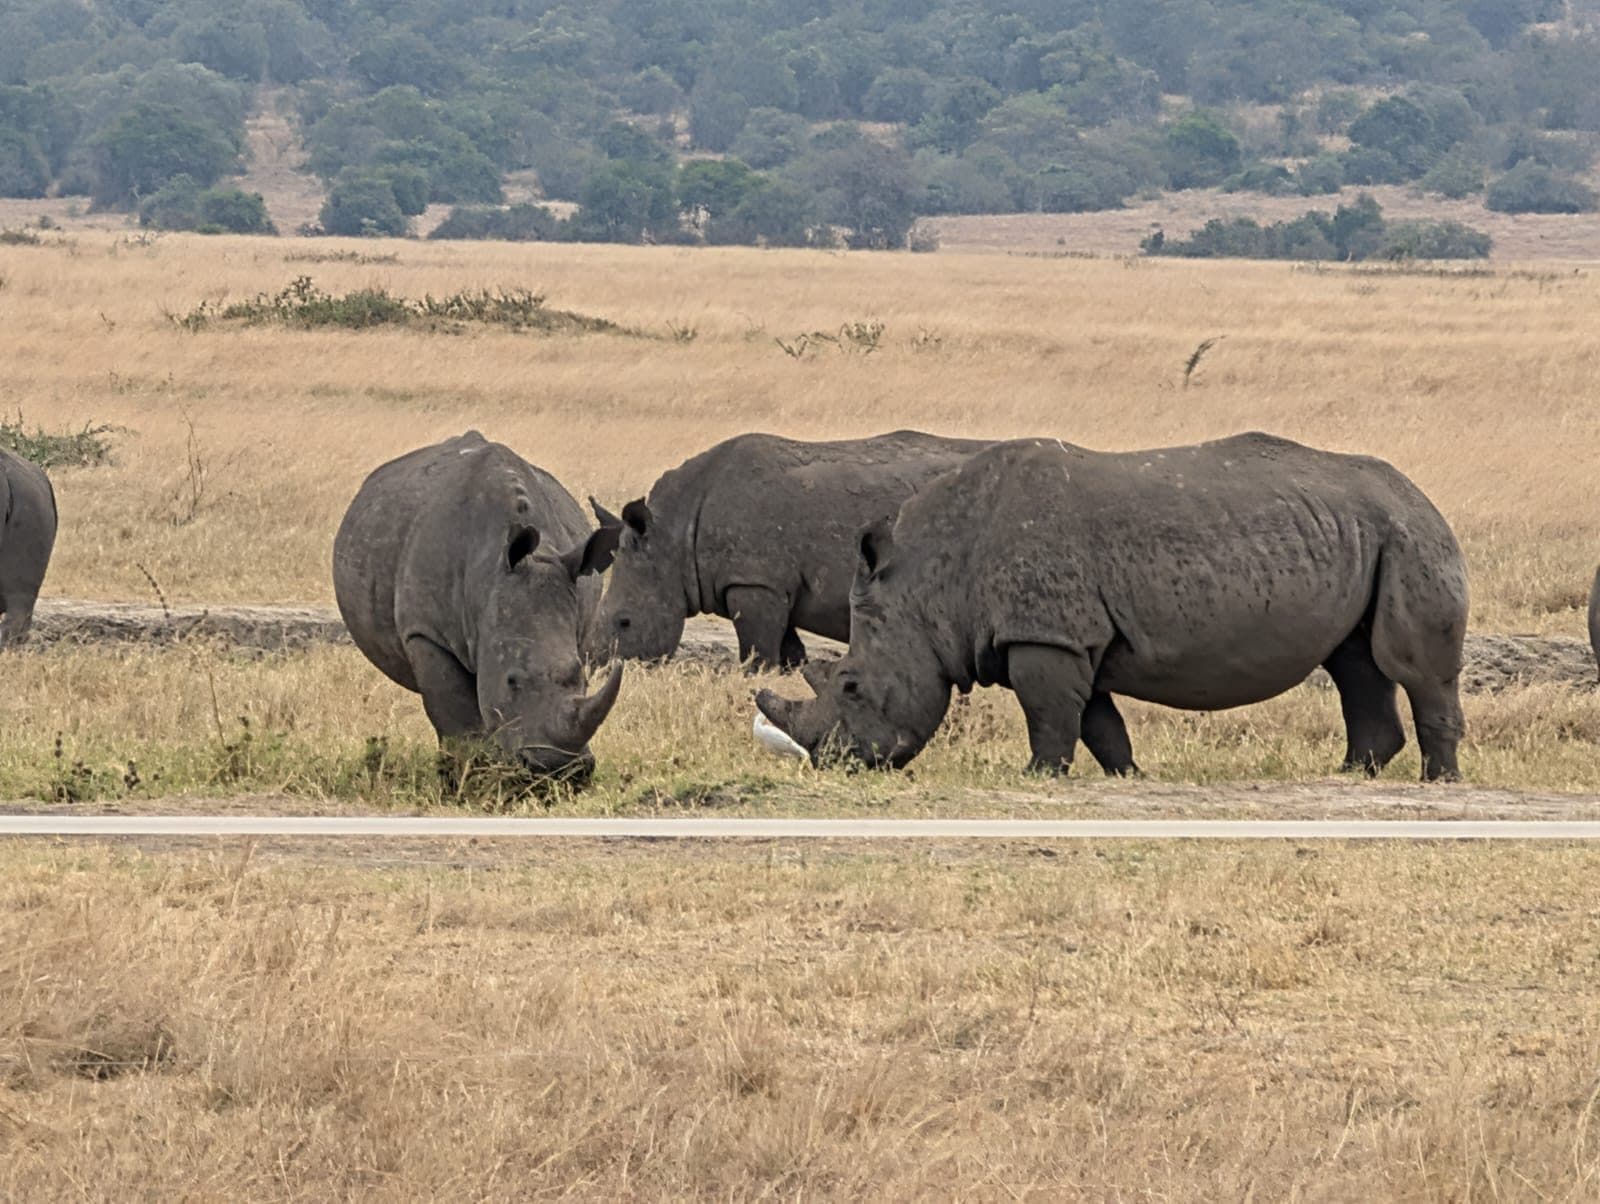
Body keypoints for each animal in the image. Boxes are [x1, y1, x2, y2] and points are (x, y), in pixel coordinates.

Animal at [333, 432, 620, 780]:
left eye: (584, 680)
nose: (557, 769)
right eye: (512, 680)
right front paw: (472, 779)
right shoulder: (426, 633)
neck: (489, 581)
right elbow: (457, 719)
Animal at [583, 430, 990, 670]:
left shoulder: (754, 581)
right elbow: (787, 649)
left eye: (624, 622)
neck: (672, 537)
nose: (594, 664)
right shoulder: (776, 586)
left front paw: (755, 674)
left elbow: (757, 649)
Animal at [757, 433, 1469, 782]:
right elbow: (1095, 719)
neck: (929, 585)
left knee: (1410, 668)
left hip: (1410, 535)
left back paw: (1438, 782)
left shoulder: (1045, 635)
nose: (837, 765)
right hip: (1365, 533)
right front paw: (1128, 775)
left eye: (850, 685)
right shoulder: (1070, 636)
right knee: (1354, 663)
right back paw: (1355, 773)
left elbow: (1048, 714)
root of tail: (1417, 492)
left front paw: (1037, 776)